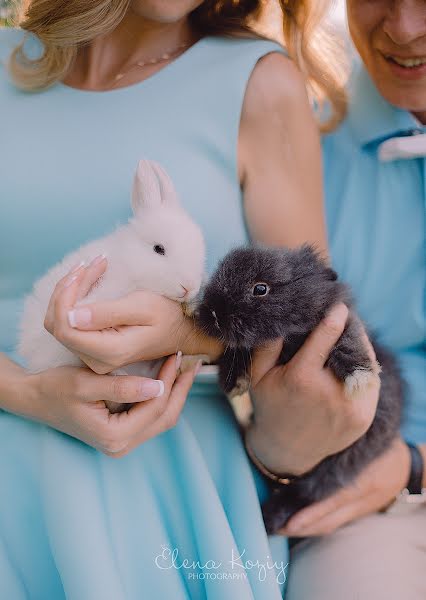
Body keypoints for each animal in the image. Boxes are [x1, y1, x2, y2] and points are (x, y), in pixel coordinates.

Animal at [195, 244, 404, 536]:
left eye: (260, 289)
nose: (212, 312)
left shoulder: (339, 320)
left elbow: (348, 340)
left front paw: (361, 378)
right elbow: (238, 351)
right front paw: (232, 380)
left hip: (339, 466)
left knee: (304, 494)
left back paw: (270, 518)